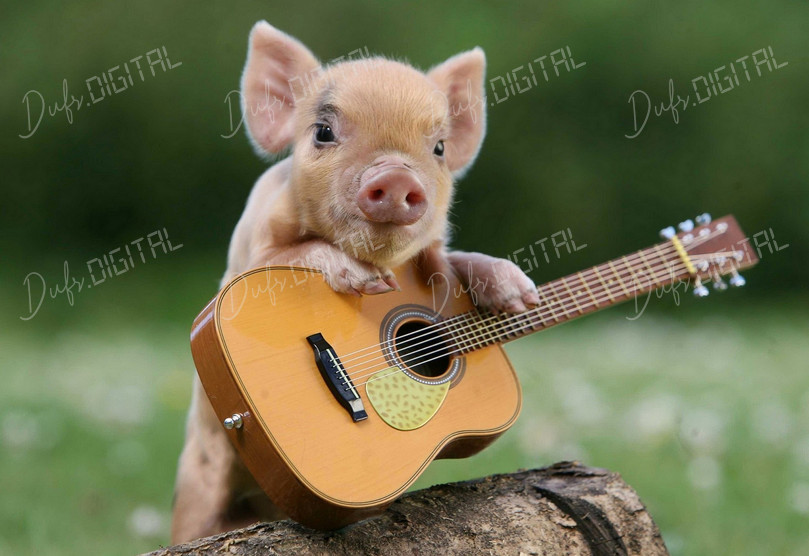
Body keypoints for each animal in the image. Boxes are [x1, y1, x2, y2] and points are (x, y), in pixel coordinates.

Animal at [170, 21, 539, 543]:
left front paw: (519, 293)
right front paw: (367, 281)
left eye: (439, 148)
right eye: (323, 132)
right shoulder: (249, 257)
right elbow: (297, 254)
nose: (398, 175)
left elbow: (451, 262)